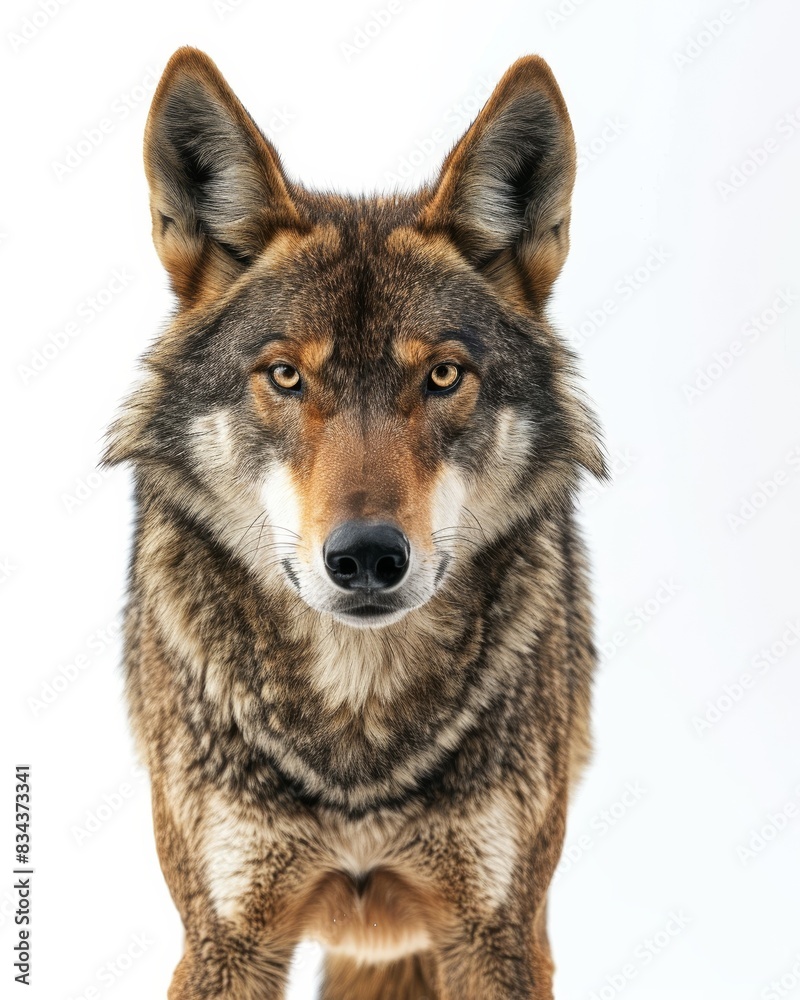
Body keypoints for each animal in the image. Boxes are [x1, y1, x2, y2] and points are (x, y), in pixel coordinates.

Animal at [104, 46, 606, 1000]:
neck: (358, 726)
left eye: (443, 376)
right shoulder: (225, 937)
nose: (368, 557)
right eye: (286, 376)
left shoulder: (499, 933)